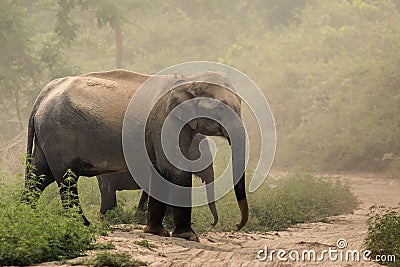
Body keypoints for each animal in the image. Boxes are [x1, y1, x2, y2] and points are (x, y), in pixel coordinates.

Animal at [24, 69, 247, 243]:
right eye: (220, 107)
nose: (236, 225)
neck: (190, 78)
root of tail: (42, 96)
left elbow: (160, 171)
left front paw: (157, 232)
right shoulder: (164, 124)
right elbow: (175, 170)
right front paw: (188, 236)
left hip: (47, 135)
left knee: (39, 175)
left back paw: (26, 214)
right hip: (58, 134)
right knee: (66, 178)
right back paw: (83, 224)